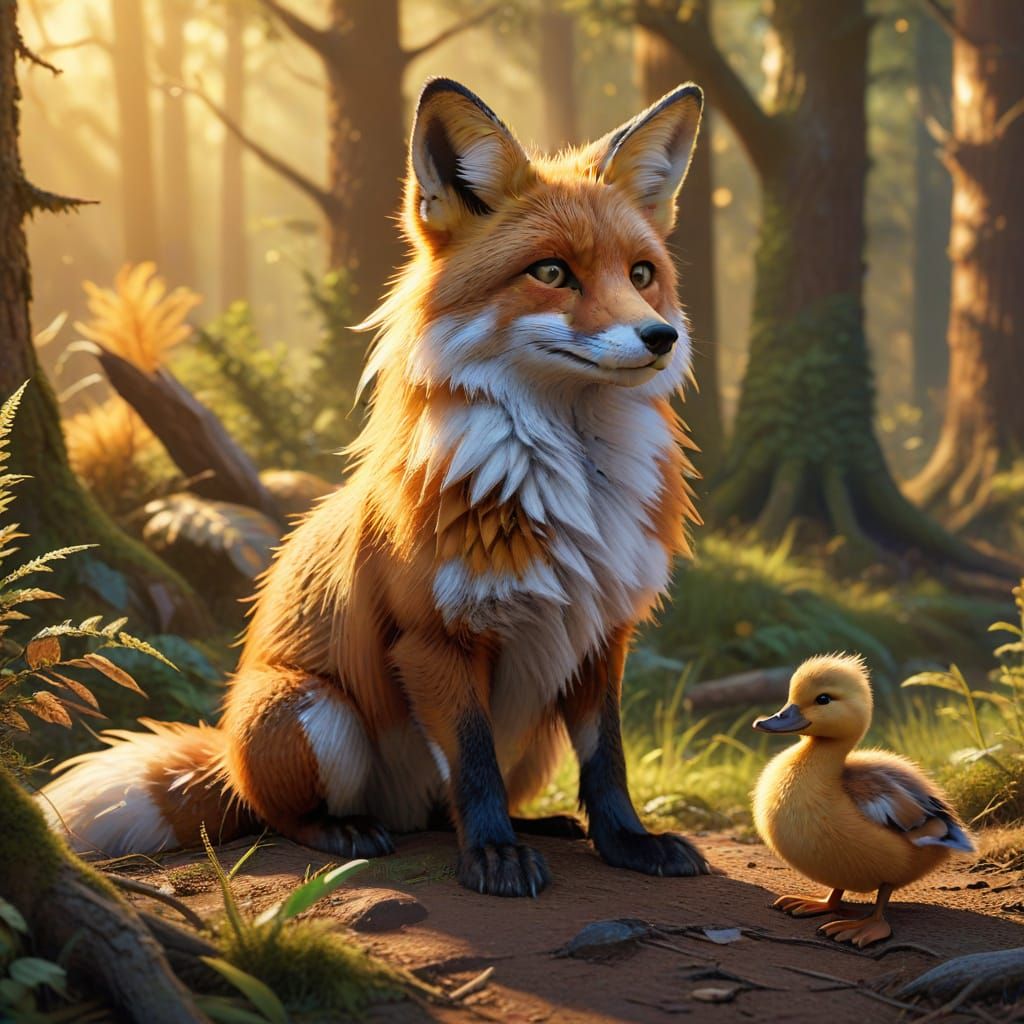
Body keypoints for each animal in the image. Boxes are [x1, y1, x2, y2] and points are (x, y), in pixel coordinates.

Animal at [40, 77, 709, 897]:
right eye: (552, 272)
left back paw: (539, 824)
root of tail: (224, 752)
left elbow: (607, 762)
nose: (660, 337)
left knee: (441, 810)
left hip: (533, 731)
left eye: (642, 275)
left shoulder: (601, 633)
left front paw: (627, 843)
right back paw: (348, 830)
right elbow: (473, 765)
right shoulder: (432, 638)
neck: (577, 483)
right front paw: (491, 856)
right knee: (284, 815)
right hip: (316, 712)